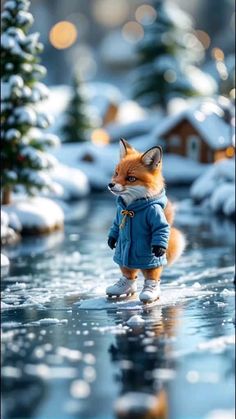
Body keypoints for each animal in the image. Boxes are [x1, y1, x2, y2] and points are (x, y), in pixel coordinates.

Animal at [106, 139, 185, 304]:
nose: (111, 184)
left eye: (131, 178)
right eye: (116, 173)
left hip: (151, 261)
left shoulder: (155, 214)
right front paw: (111, 239)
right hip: (122, 257)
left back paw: (150, 293)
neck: (130, 208)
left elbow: (160, 228)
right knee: (129, 273)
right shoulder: (118, 215)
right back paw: (122, 288)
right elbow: (115, 227)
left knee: (152, 276)